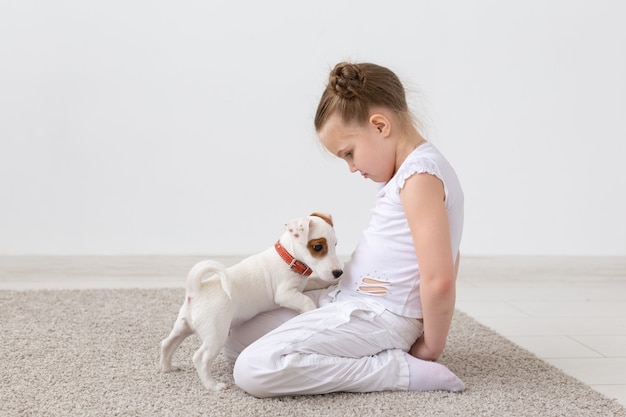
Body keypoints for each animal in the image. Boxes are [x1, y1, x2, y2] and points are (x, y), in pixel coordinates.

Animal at [156, 211, 342, 390]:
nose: (338, 272)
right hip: (215, 334)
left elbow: (316, 281)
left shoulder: (303, 285)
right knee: (200, 358)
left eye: (335, 244)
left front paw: (333, 282)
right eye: (317, 247)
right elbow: (306, 301)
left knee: (167, 343)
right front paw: (312, 312)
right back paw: (213, 385)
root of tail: (195, 290)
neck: (289, 259)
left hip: (183, 327)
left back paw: (167, 368)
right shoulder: (285, 294)